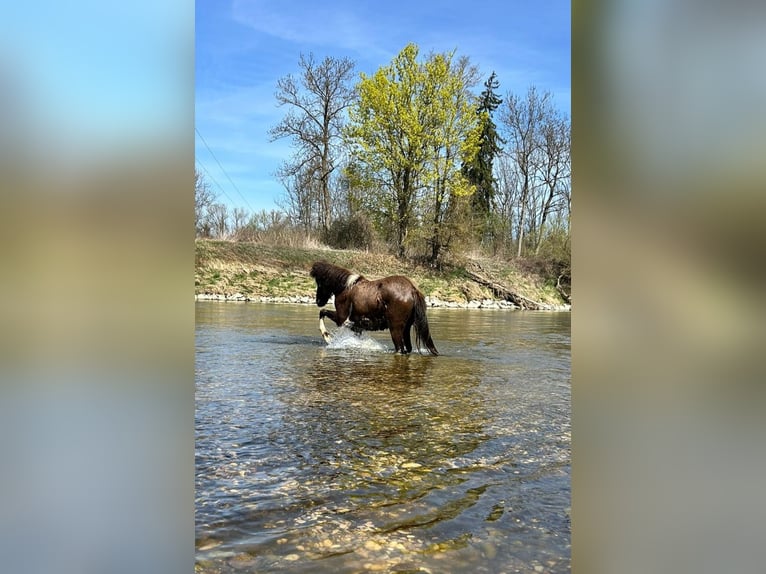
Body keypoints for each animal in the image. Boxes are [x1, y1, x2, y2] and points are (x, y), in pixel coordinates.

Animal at [309, 261, 439, 356]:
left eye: (319, 283)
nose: (318, 301)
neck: (345, 288)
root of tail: (412, 290)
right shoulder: (357, 327)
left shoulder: (341, 318)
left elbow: (322, 312)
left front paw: (327, 337)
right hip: (406, 328)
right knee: (407, 349)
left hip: (395, 328)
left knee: (399, 349)